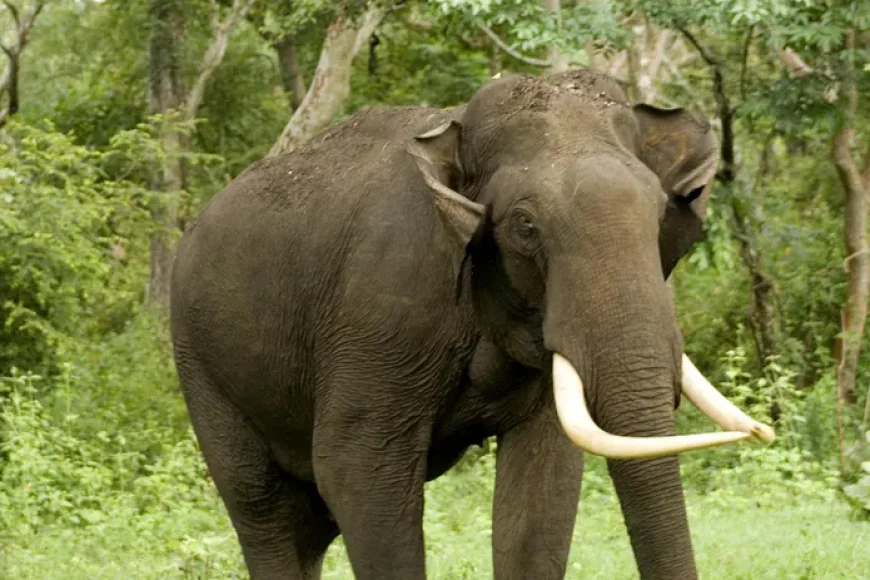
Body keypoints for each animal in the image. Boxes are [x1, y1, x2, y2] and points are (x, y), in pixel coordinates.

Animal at [169, 69, 774, 580]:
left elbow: (542, 489)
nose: (762, 432)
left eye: (658, 213)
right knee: (262, 507)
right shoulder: (380, 308)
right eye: (525, 225)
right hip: (201, 364)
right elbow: (357, 469)